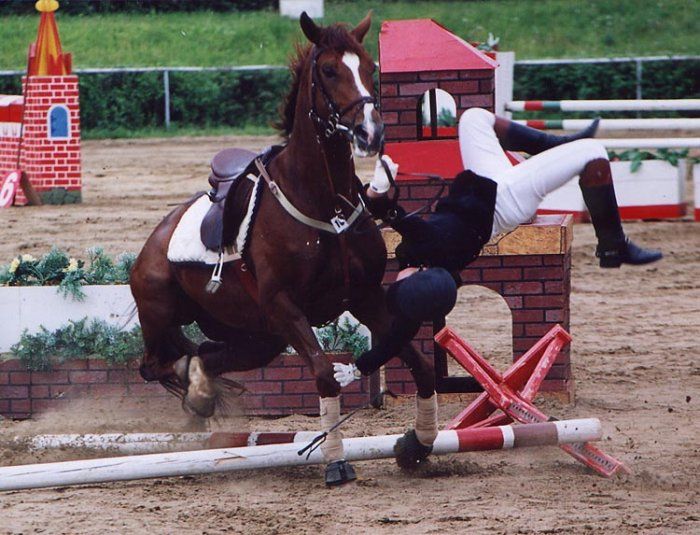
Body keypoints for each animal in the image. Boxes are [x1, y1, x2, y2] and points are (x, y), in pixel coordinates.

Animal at [129, 12, 434, 484]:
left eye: (370, 67)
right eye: (329, 70)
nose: (370, 132)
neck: (324, 204)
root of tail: (154, 241)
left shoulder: (364, 297)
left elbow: (419, 362)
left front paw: (418, 443)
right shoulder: (285, 305)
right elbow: (325, 373)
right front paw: (336, 461)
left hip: (259, 335)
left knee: (207, 356)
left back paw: (200, 386)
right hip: (163, 315)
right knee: (157, 364)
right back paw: (195, 391)